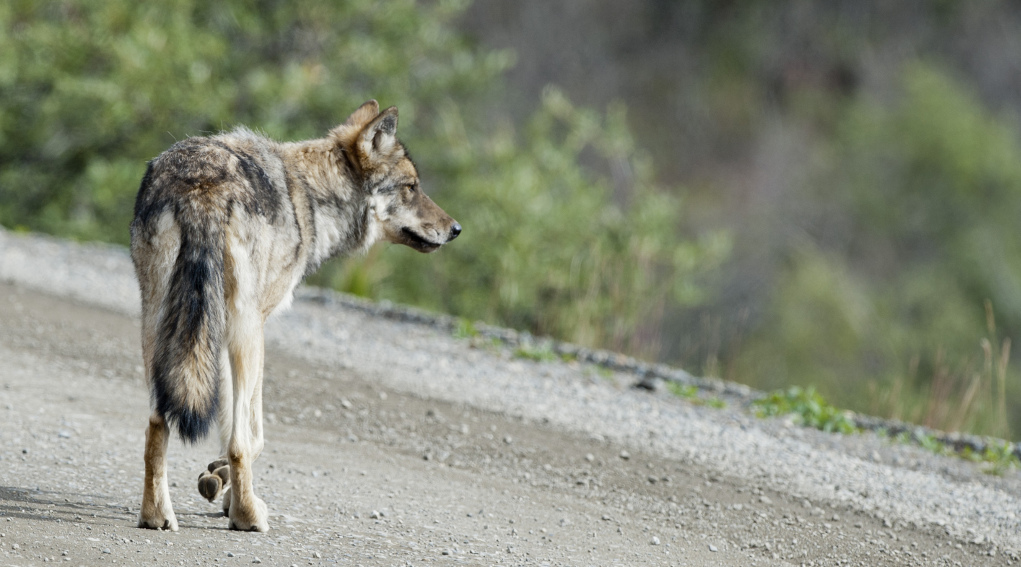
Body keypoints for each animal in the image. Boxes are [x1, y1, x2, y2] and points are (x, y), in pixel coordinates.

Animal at [129, 100, 460, 532]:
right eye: (412, 187)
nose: (456, 228)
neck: (311, 199)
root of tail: (200, 183)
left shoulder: (217, 334)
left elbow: (226, 422)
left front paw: (218, 481)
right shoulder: (249, 327)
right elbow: (251, 436)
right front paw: (226, 487)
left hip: (158, 321)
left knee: (157, 421)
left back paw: (156, 515)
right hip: (246, 332)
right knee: (238, 440)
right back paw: (248, 517)